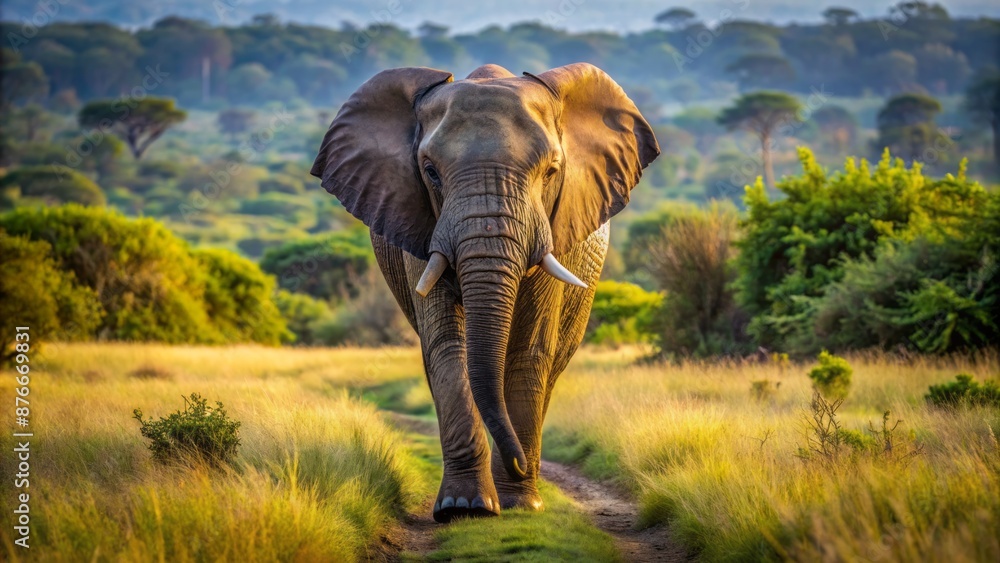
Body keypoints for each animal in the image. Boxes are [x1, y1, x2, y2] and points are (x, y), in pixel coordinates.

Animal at [310, 63, 659, 523]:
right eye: (430, 171)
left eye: (551, 171)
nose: (520, 465)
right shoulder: (422, 228)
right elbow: (448, 346)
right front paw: (465, 507)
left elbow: (530, 349)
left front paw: (521, 504)